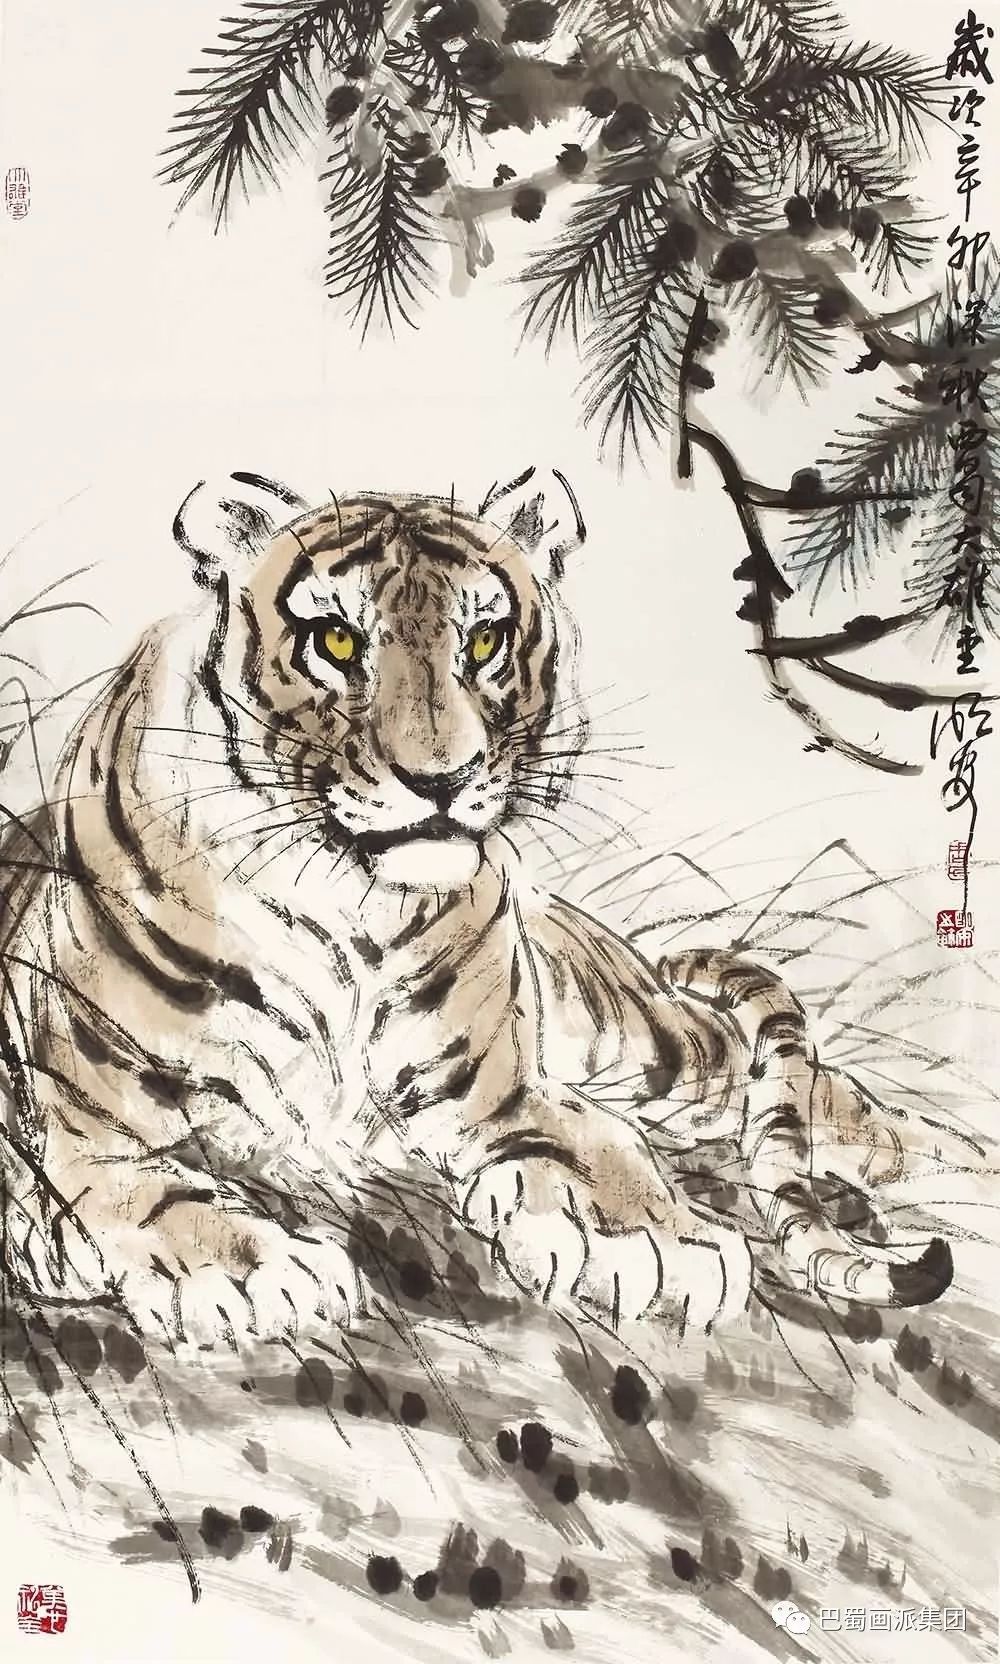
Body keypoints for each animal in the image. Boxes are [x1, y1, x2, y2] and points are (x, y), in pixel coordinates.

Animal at [0, 469, 976, 1348]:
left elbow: (602, 1143)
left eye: (484, 641)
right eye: (336, 641)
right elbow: (154, 1192)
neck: (348, 904)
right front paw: (253, 1273)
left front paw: (656, 1239)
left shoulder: (505, 1089)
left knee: (796, 1082)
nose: (441, 778)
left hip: (646, 1042)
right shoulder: (91, 1129)